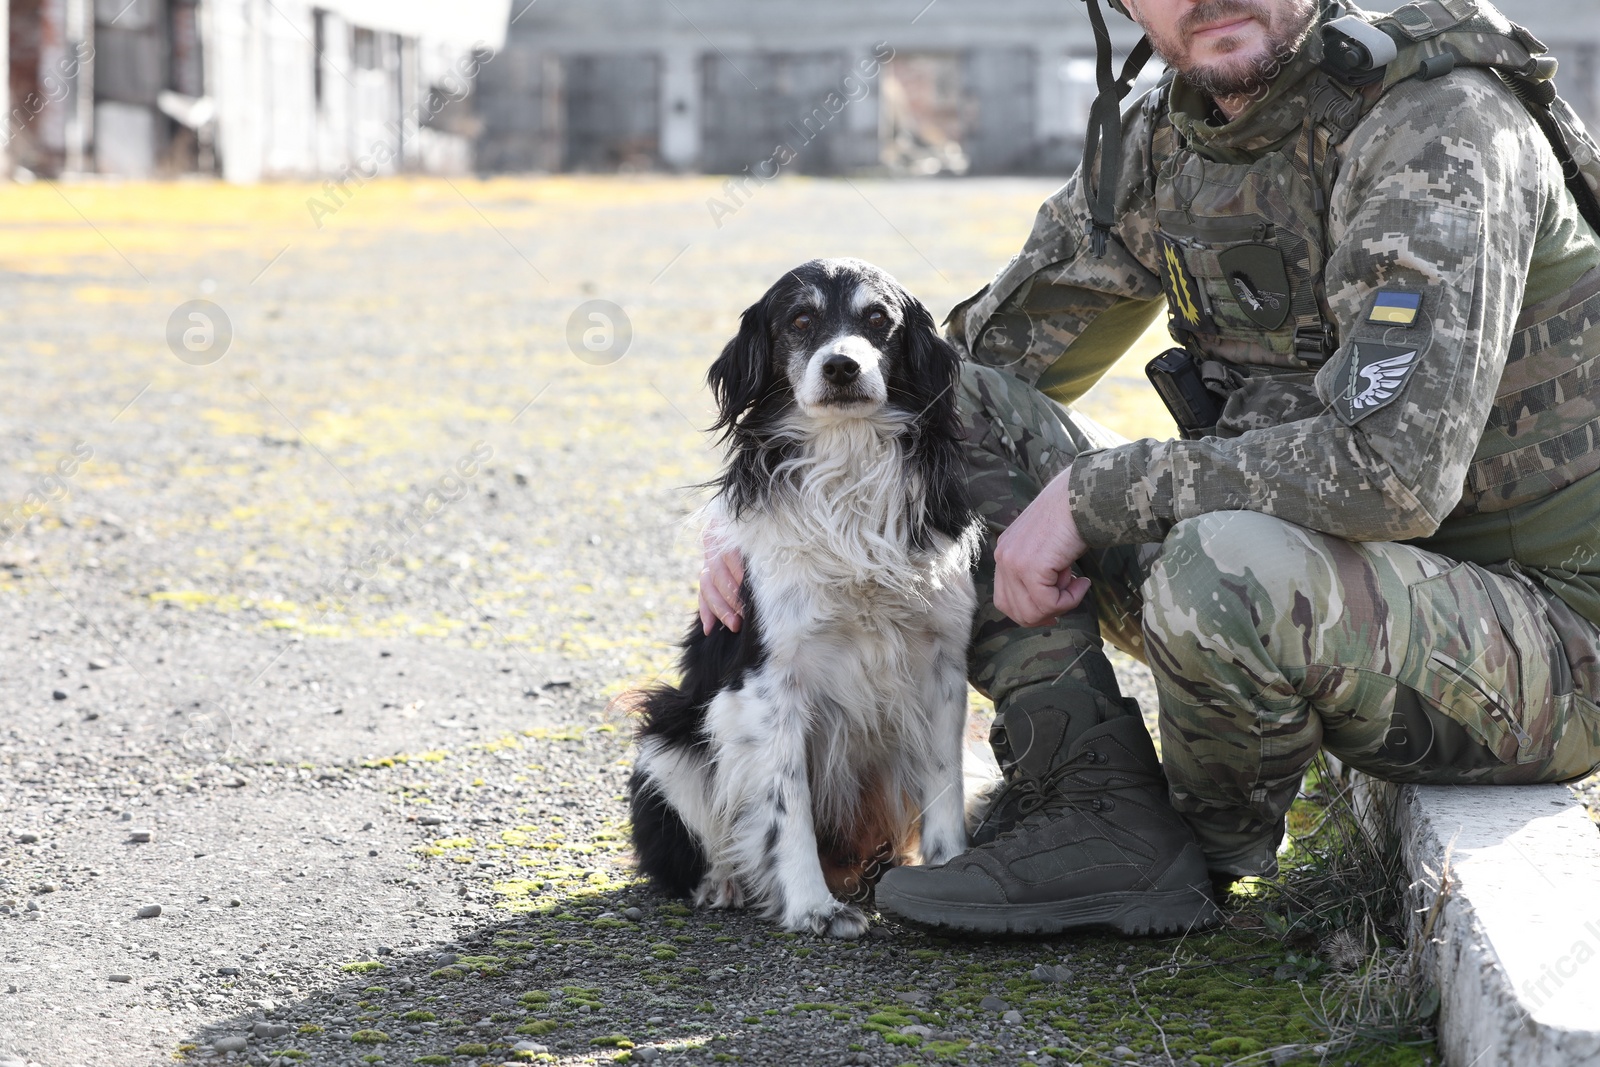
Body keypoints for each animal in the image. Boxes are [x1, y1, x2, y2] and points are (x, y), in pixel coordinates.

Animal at [627, 255, 979, 934]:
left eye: (878, 318)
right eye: (799, 320)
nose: (842, 365)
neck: (847, 470)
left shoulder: (943, 665)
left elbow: (945, 785)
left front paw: (952, 875)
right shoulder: (768, 684)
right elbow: (786, 805)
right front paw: (813, 907)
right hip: (667, 743)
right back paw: (724, 884)